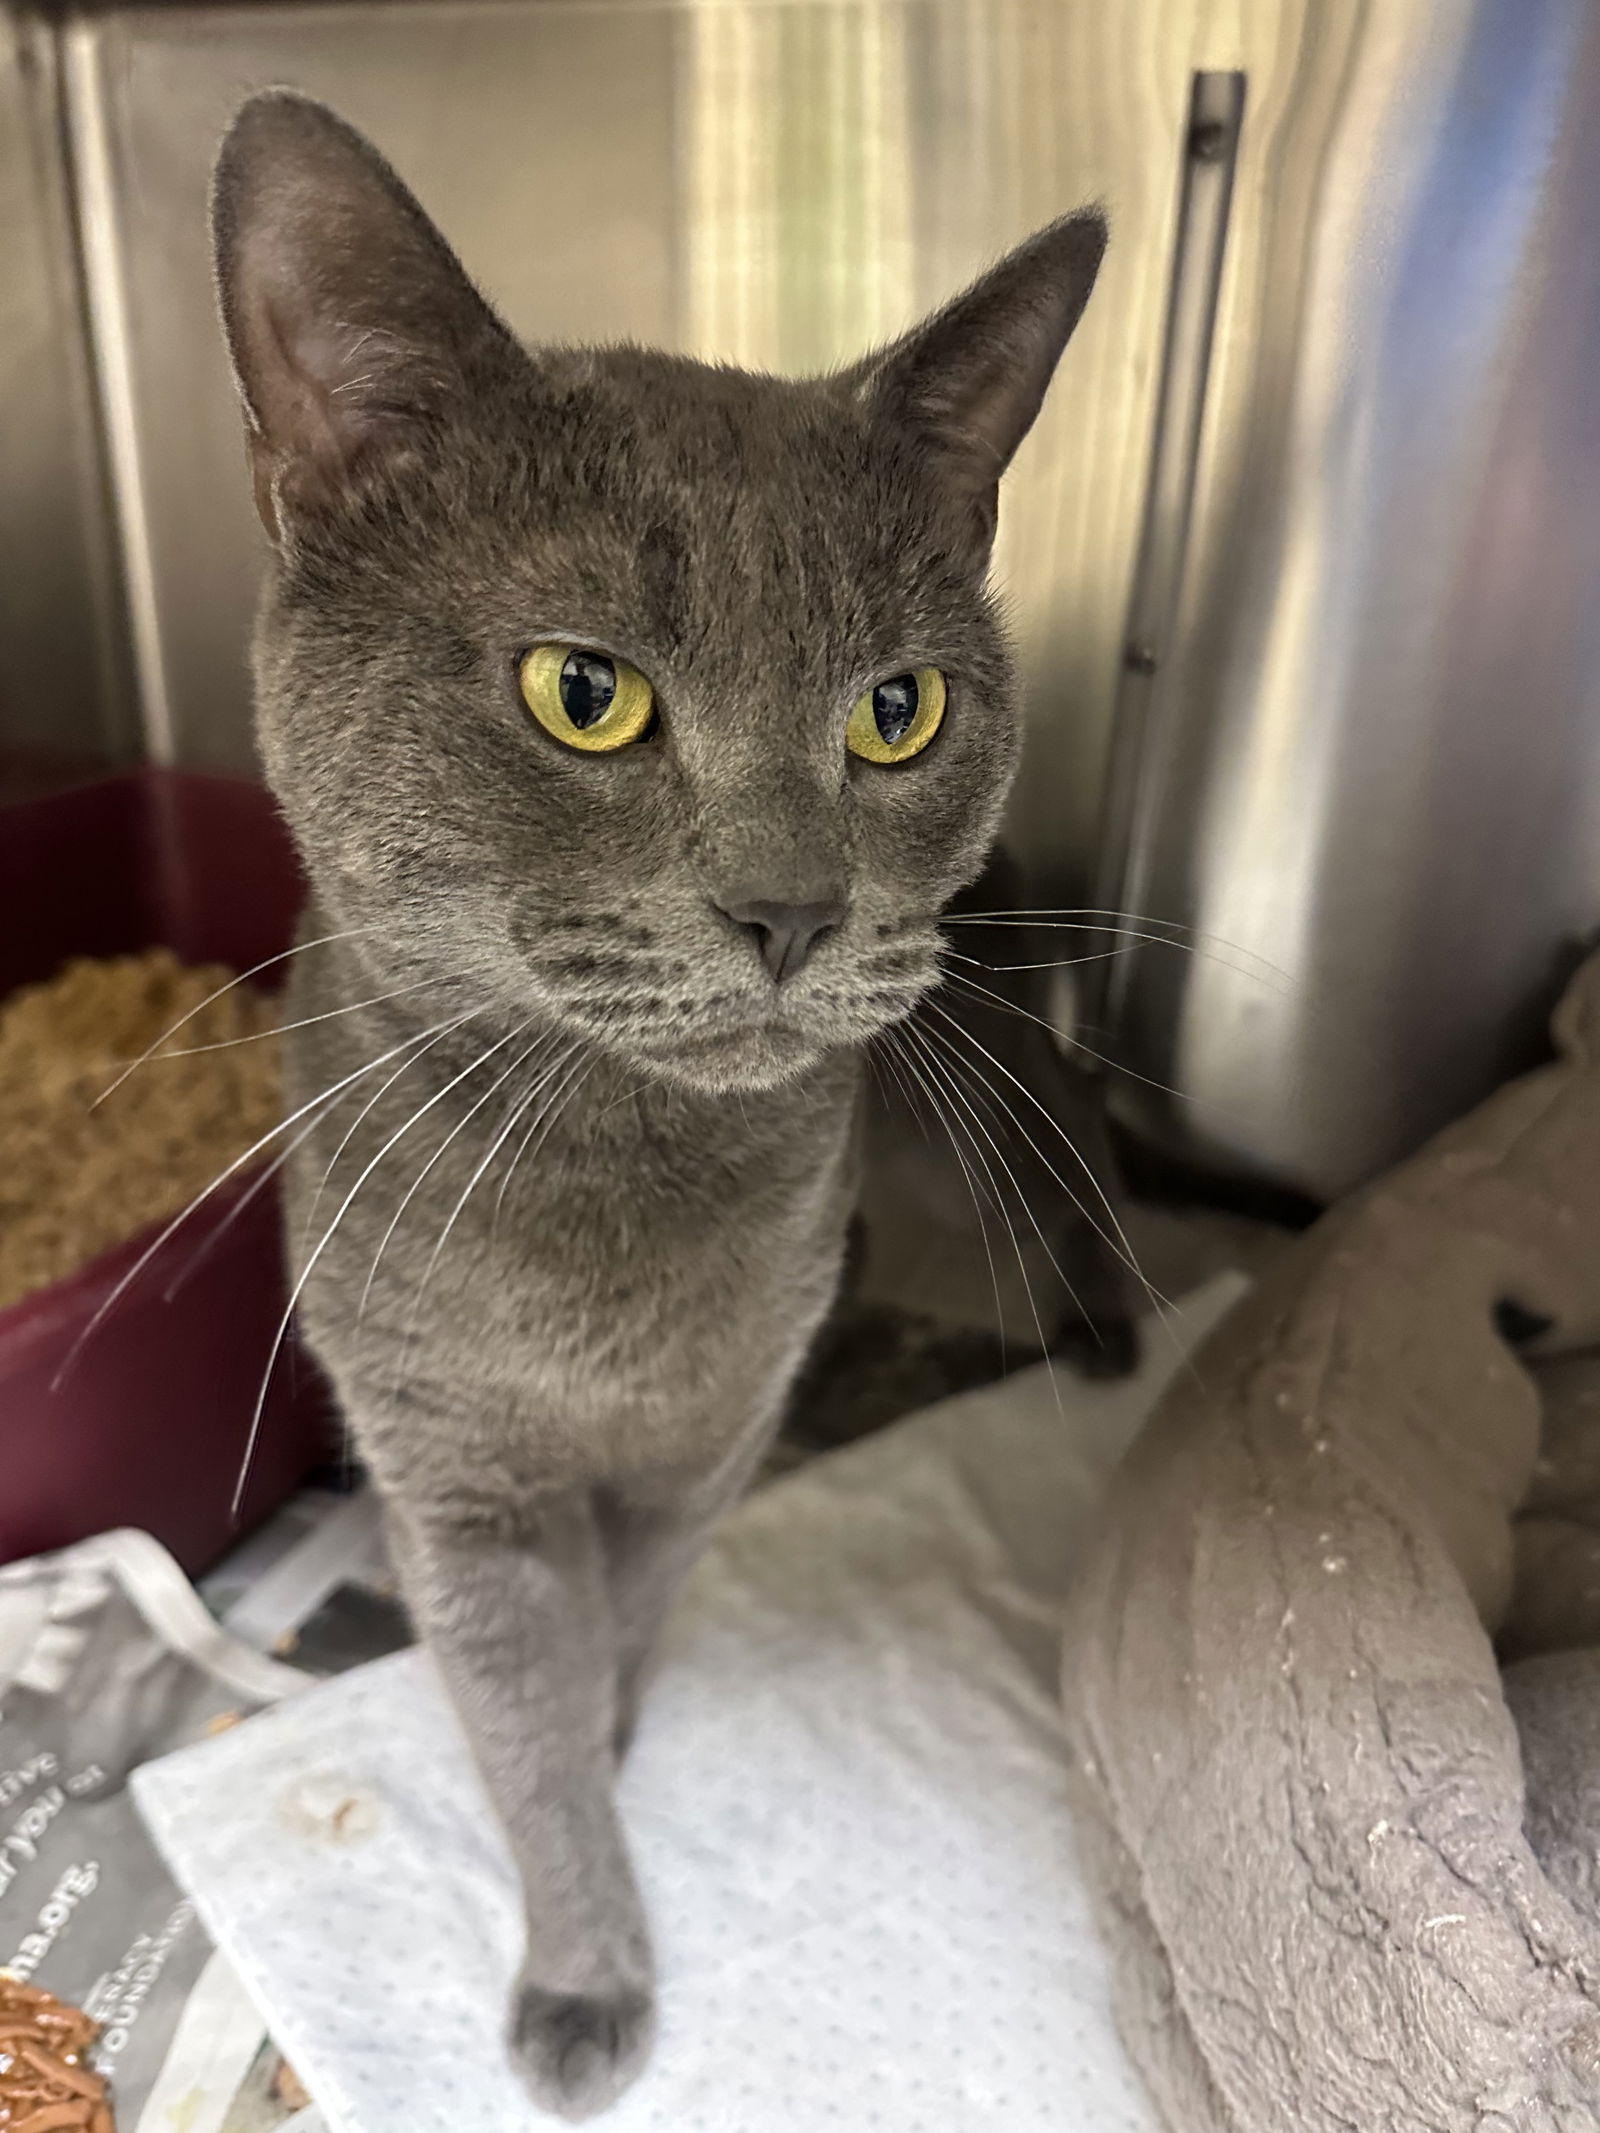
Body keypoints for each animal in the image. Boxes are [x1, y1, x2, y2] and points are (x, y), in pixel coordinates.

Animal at [210, 95, 1117, 2115]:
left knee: (1062, 1121)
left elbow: (619, 1625)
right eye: (585, 692)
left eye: (894, 711)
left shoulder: (718, 1431)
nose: (793, 911)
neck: (606, 1192)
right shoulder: (448, 1472)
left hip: (985, 1018)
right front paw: (582, 1947)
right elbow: (520, 1713)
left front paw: (614, 1749)